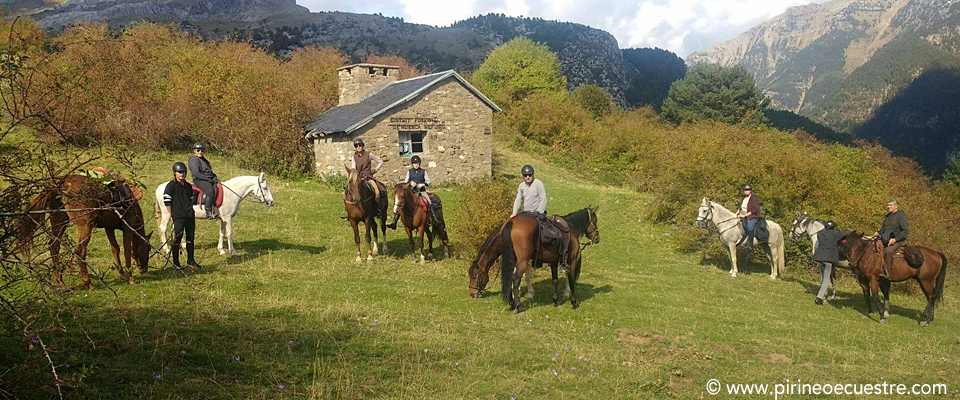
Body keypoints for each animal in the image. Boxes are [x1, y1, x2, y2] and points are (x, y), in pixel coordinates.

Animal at [15, 173, 152, 290]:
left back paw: (60, 281)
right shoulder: (128, 228)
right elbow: (127, 251)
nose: (144, 269)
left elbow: (115, 249)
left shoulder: (109, 228)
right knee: (79, 250)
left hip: (60, 221)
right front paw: (130, 276)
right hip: (85, 226)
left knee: (54, 246)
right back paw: (88, 282)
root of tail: (63, 182)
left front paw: (121, 273)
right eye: (148, 248)